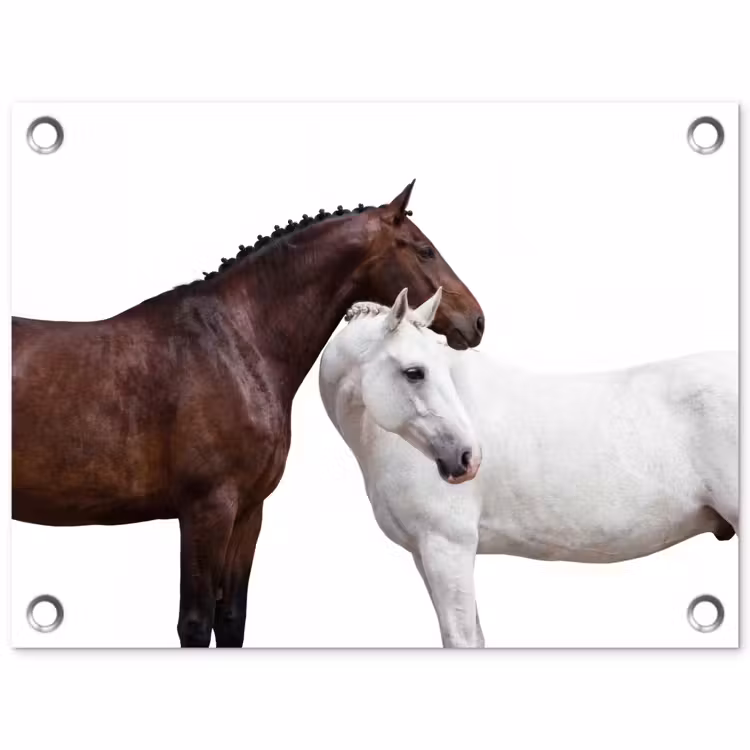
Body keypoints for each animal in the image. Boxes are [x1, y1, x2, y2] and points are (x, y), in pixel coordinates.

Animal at [12, 181, 485, 647]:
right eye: (424, 250)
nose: (477, 320)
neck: (233, 344)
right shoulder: (207, 509)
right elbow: (195, 623)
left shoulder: (247, 512)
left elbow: (231, 620)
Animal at [319, 289, 738, 647]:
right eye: (415, 372)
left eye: (427, 369)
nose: (468, 457)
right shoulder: (425, 553)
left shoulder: (447, 546)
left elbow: (461, 639)